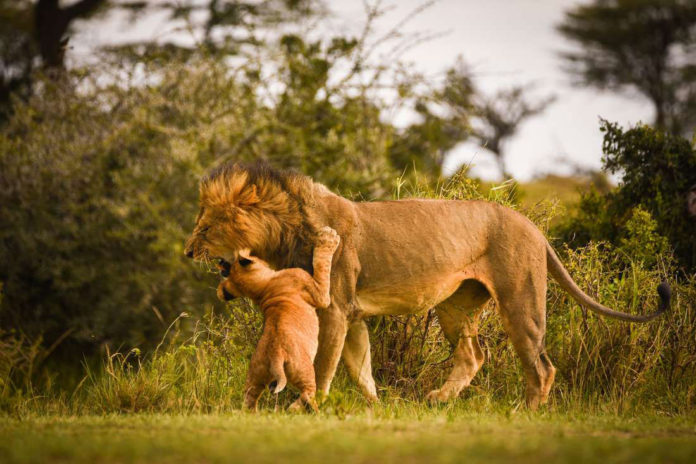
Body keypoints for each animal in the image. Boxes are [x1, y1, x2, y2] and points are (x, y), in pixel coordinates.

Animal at [185, 162, 668, 410]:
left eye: (205, 228)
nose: (187, 252)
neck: (286, 229)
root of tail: (533, 225)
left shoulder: (335, 308)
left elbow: (324, 364)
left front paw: (310, 406)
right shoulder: (352, 315)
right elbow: (360, 367)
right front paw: (375, 408)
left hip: (521, 299)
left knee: (542, 366)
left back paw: (526, 412)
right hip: (456, 305)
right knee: (474, 354)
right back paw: (438, 399)